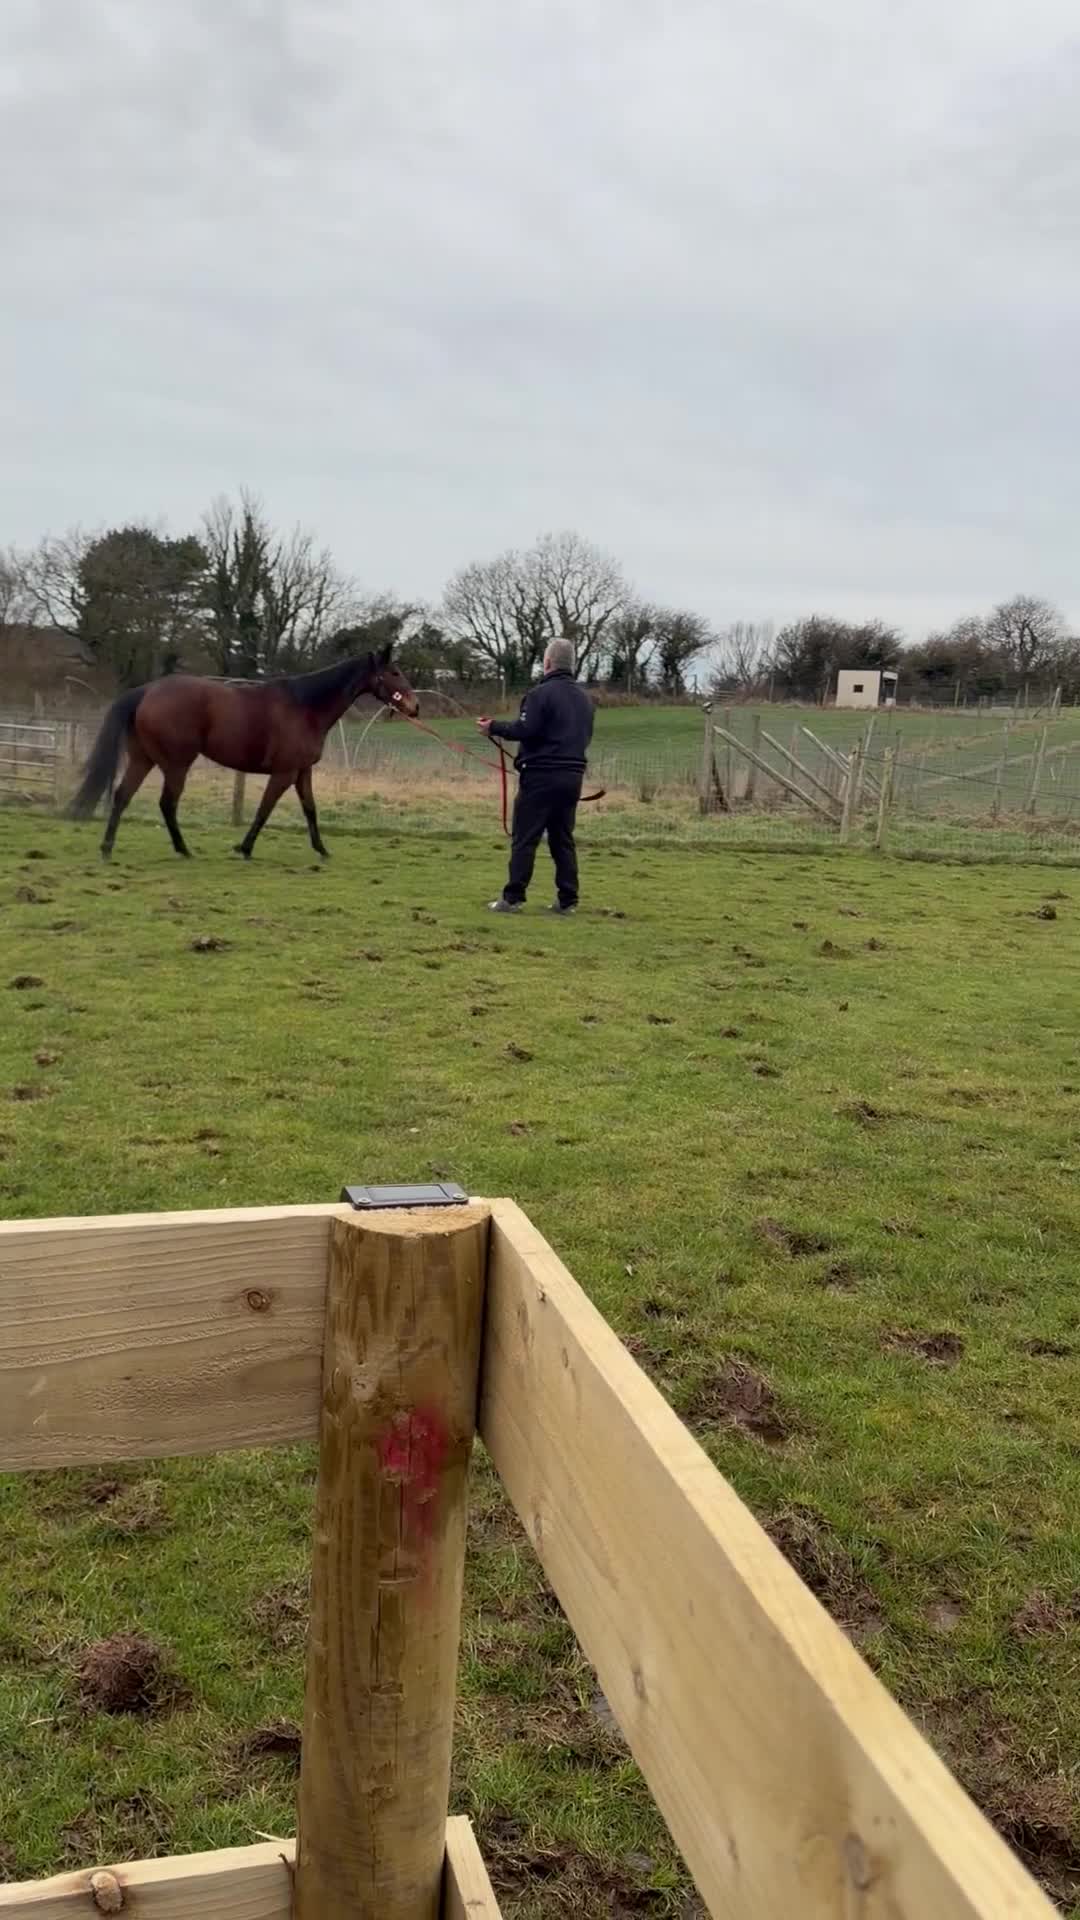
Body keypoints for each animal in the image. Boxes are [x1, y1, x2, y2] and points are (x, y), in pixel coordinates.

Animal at [67, 646, 419, 861]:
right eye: (394, 672)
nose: (415, 706)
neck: (305, 706)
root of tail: (147, 691)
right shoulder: (284, 773)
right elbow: (264, 810)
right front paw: (244, 848)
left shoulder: (302, 772)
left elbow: (310, 810)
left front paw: (322, 849)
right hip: (176, 764)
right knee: (166, 803)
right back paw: (183, 849)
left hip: (145, 759)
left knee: (122, 795)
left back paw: (108, 848)